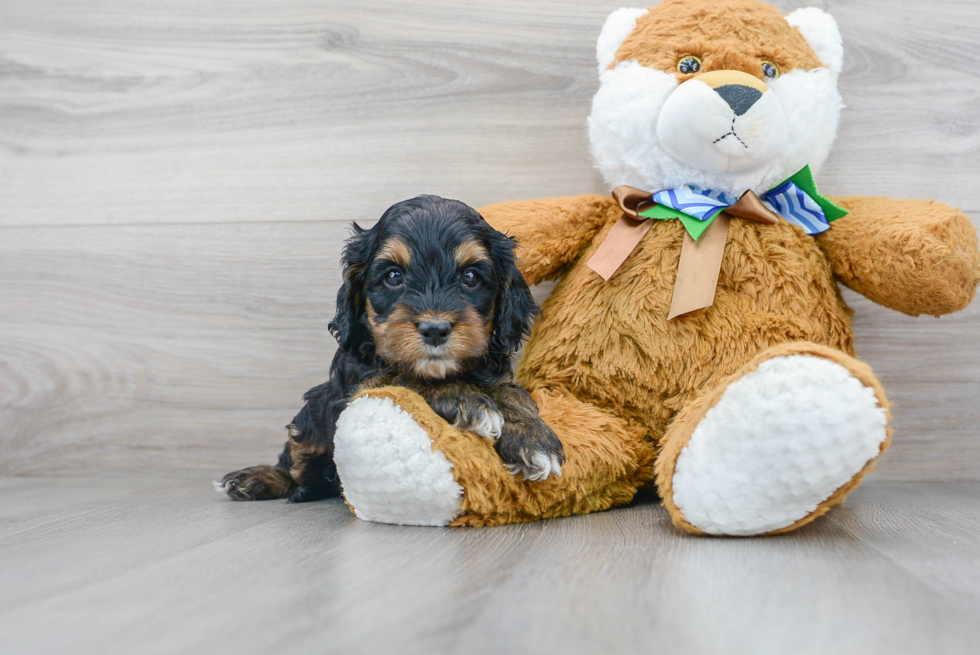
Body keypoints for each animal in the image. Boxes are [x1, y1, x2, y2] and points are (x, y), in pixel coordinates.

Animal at [217, 195, 564, 502]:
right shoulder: (359, 384)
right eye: (394, 276)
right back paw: (254, 480)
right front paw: (464, 399)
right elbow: (404, 378)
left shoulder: (496, 373)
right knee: (294, 461)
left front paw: (534, 438)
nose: (435, 329)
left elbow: (515, 394)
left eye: (470, 277)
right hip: (309, 418)